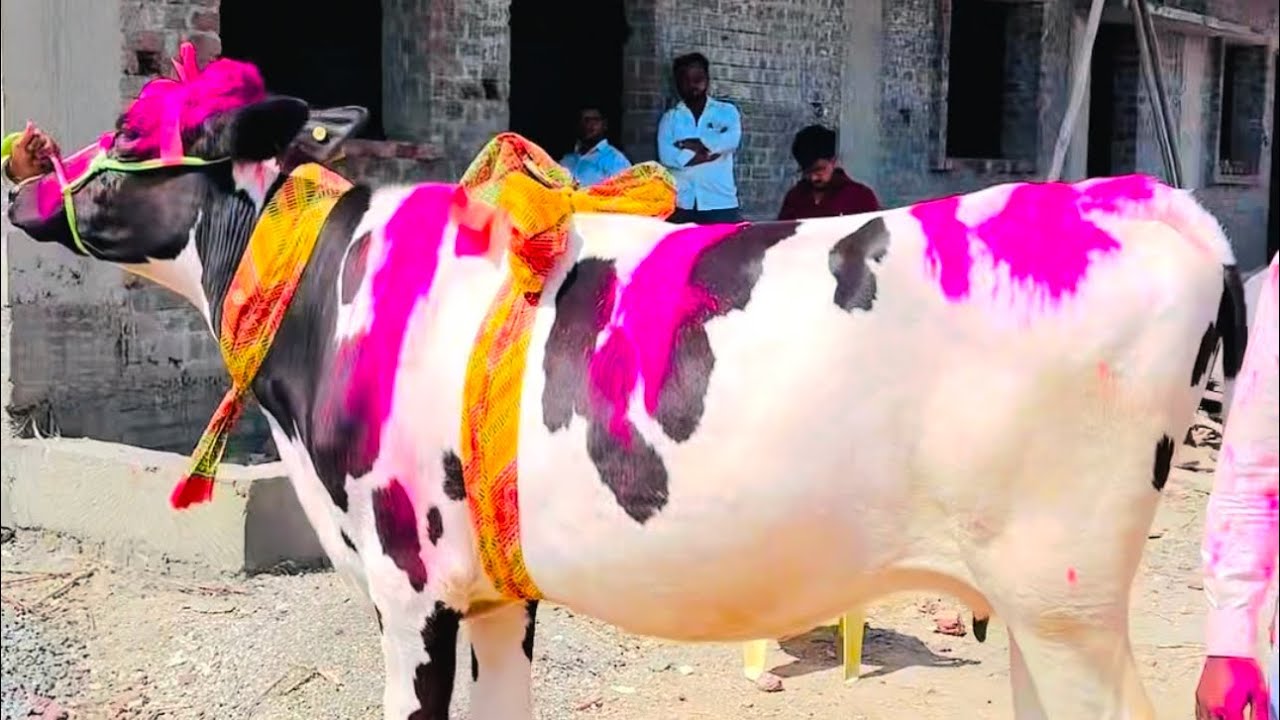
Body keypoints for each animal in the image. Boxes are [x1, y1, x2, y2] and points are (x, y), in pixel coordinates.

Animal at [7, 49, 1248, 720]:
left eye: (132, 126)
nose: (23, 178)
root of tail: (1149, 201)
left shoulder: (408, 583)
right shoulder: (494, 592)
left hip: (1064, 595)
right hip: (1041, 607)